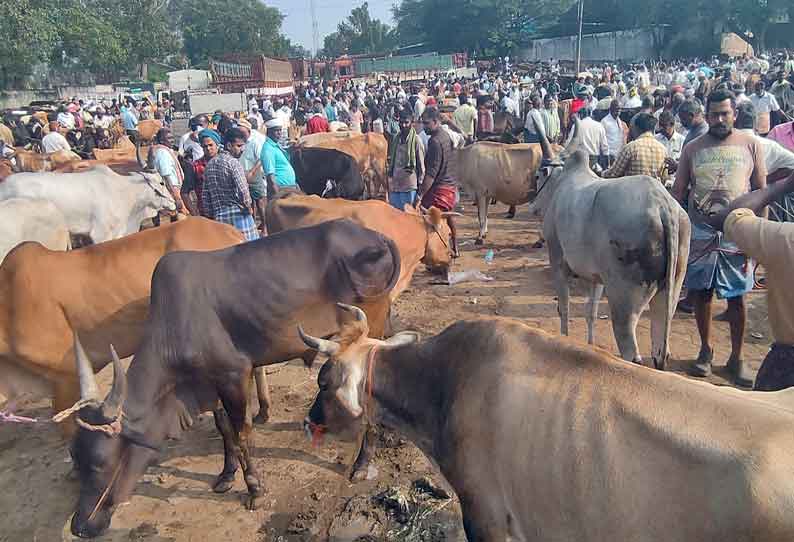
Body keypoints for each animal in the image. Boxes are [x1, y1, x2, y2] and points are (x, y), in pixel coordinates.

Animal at [65, 221, 400, 540]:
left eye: (99, 463)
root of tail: (377, 237)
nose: (79, 527)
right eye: (75, 460)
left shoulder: (234, 375)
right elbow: (223, 429)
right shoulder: (212, 382)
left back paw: (361, 465)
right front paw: (226, 475)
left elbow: (241, 434)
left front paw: (254, 489)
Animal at [524, 119, 688, 372]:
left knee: (631, 350)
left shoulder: (558, 261)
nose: (532, 207)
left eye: (539, 176)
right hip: (669, 292)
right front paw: (590, 347)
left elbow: (564, 307)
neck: (564, 181)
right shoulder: (596, 277)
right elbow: (590, 312)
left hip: (623, 299)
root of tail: (663, 206)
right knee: (660, 350)